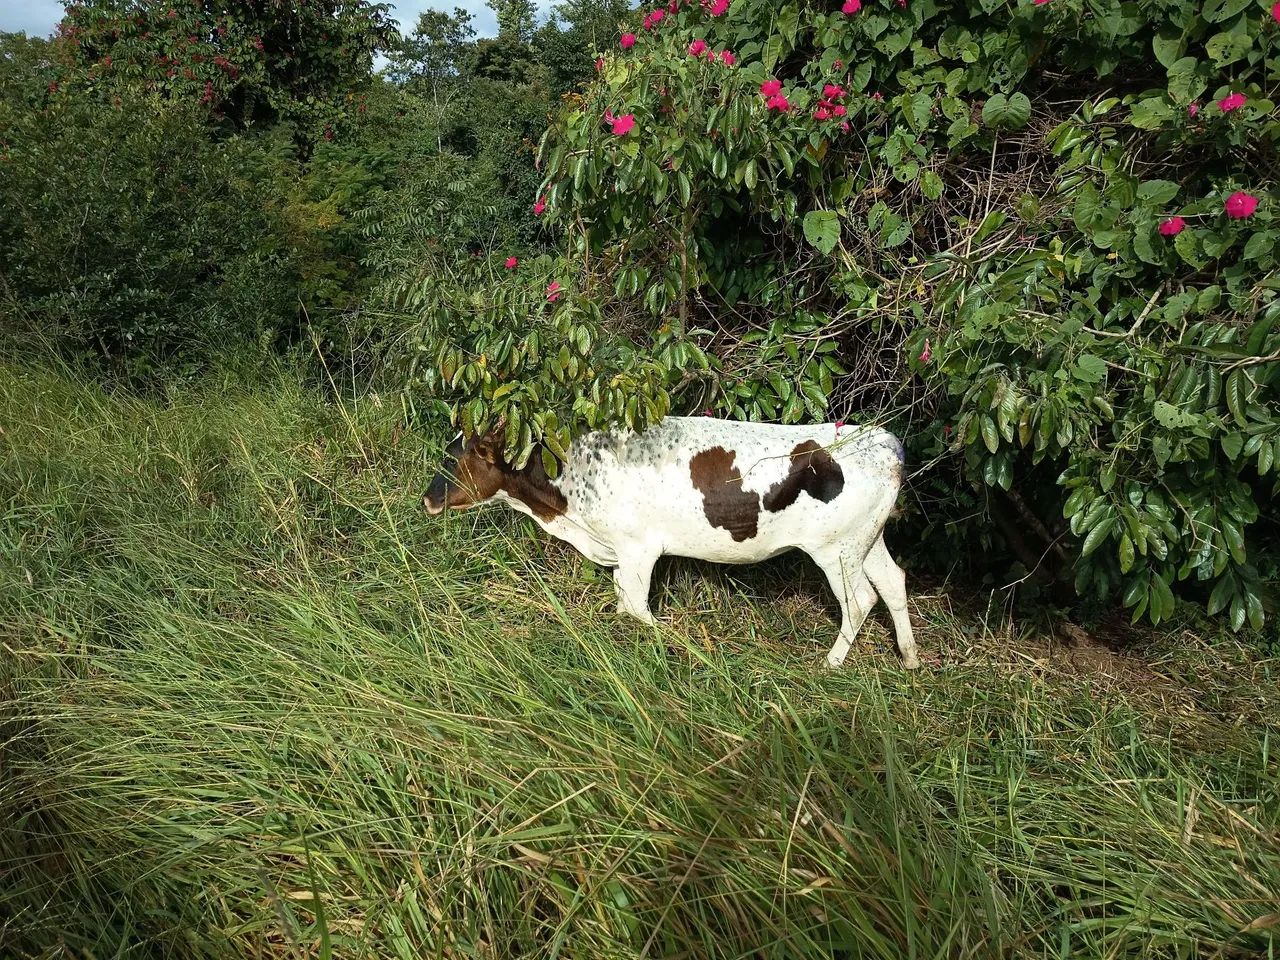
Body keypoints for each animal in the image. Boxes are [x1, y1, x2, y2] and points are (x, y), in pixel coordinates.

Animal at [423, 417, 918, 669]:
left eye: (463, 458)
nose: (428, 498)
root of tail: (883, 439)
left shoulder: (637, 547)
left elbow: (637, 608)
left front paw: (676, 645)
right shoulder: (621, 553)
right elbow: (624, 605)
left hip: (835, 548)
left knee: (860, 599)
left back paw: (831, 663)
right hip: (866, 540)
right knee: (893, 582)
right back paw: (910, 659)